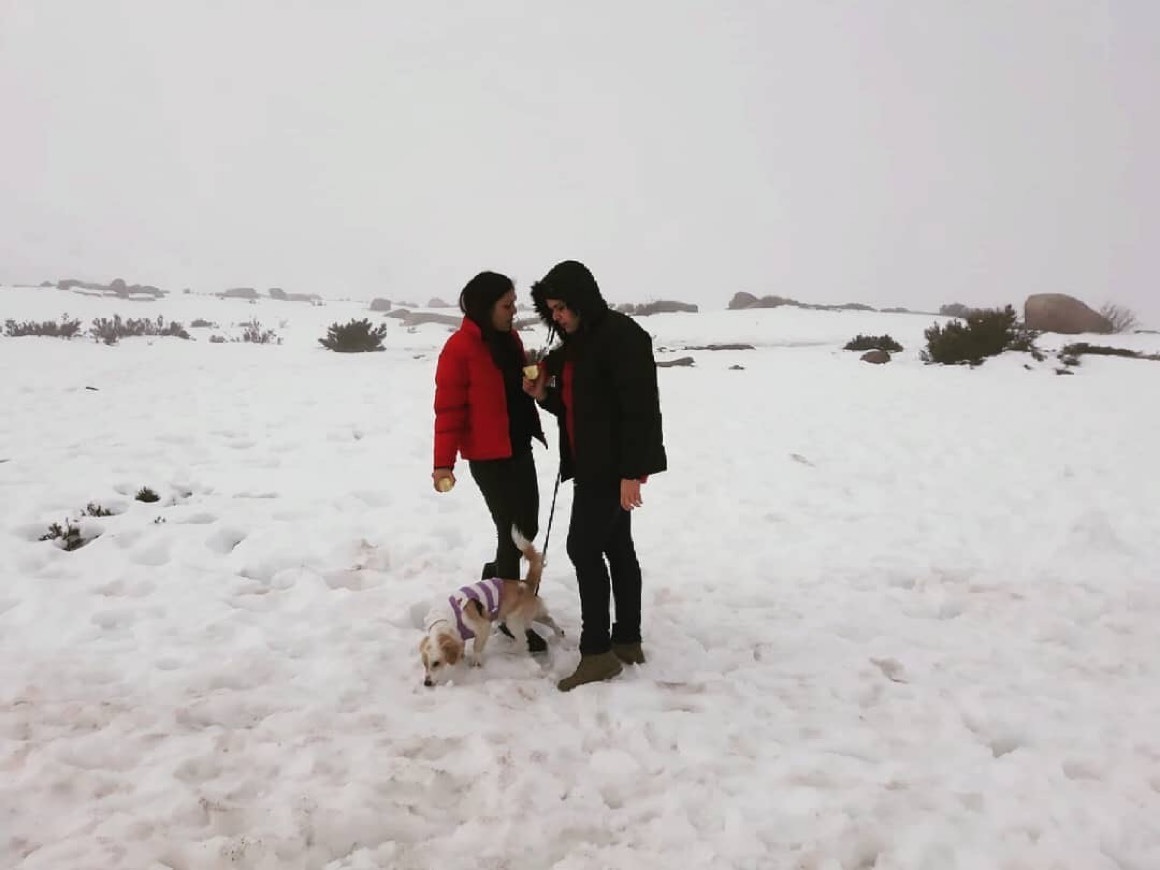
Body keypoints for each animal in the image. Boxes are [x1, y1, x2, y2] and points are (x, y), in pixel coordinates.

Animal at [419, 524, 563, 686]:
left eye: (436, 663)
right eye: (424, 663)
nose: (427, 683)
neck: (447, 619)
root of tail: (526, 584)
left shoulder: (483, 626)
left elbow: (476, 646)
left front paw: (475, 662)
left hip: (513, 621)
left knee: (523, 641)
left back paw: (510, 652)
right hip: (530, 614)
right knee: (549, 619)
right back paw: (559, 633)